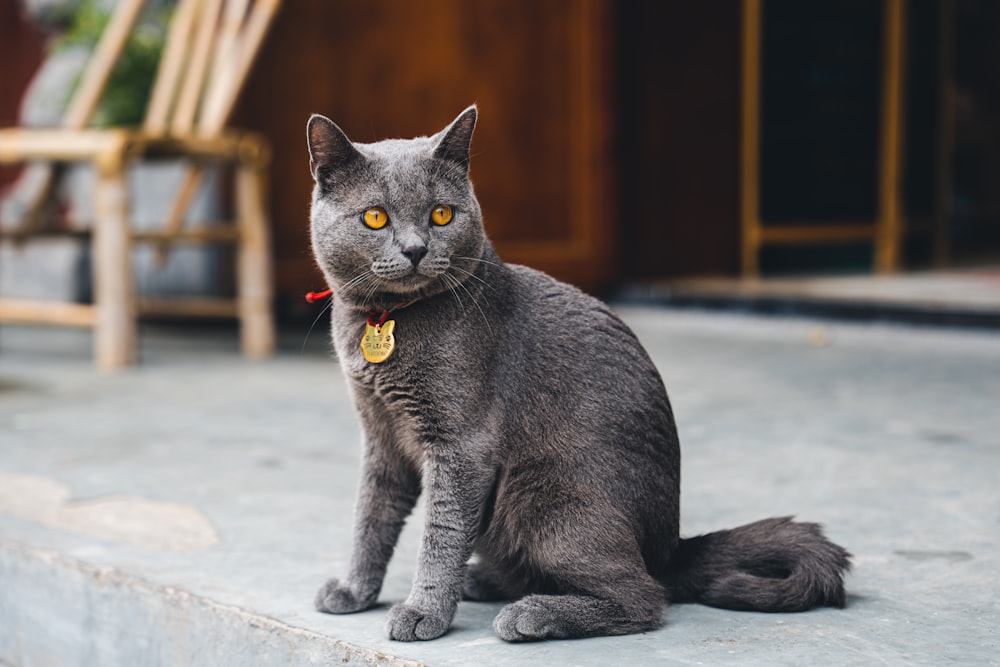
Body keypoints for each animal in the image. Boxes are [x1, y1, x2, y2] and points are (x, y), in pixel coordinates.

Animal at [306, 107, 852, 644]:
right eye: (375, 217)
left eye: (442, 214)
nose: (416, 249)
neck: (385, 319)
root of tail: (671, 549)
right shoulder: (381, 434)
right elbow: (371, 515)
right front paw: (354, 592)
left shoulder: (461, 445)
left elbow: (441, 532)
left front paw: (424, 613)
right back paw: (487, 582)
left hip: (545, 495)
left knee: (644, 596)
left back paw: (532, 614)